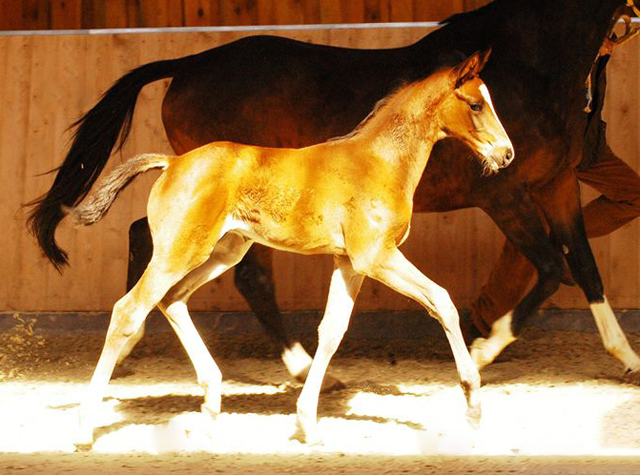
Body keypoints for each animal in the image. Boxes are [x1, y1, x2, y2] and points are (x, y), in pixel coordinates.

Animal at [69, 52, 516, 446]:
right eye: (476, 104)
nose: (506, 153)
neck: (379, 160)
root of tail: (171, 163)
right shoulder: (376, 256)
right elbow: (442, 301)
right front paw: (473, 403)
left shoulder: (348, 262)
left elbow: (331, 330)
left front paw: (308, 423)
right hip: (179, 250)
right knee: (130, 310)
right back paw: (86, 427)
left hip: (223, 250)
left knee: (173, 299)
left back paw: (211, 405)